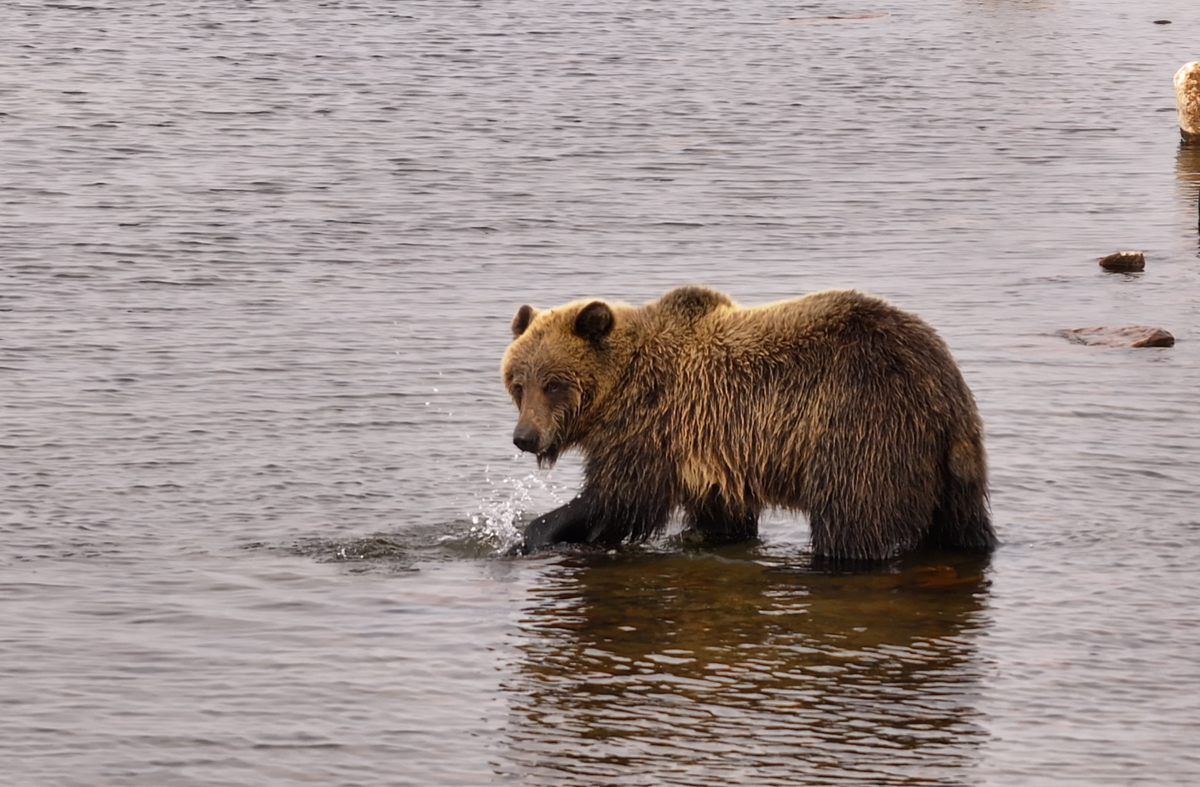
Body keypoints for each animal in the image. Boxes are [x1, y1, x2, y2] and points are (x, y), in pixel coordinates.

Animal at [496, 285, 993, 561]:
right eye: (519, 383)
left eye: (554, 384)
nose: (524, 437)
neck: (618, 388)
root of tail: (944, 379)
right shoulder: (712, 456)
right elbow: (723, 519)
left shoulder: (653, 424)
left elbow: (617, 499)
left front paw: (528, 534)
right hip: (950, 465)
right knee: (962, 525)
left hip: (861, 428)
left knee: (853, 521)